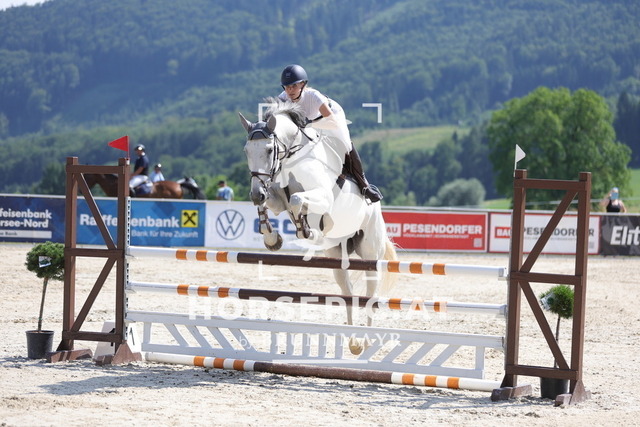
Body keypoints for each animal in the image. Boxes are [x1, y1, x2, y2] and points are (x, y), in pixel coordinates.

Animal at [239, 99, 397, 353]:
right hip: (336, 254)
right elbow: (274, 204)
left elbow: (297, 200)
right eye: (246, 151)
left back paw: (366, 340)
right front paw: (272, 239)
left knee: (370, 295)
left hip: (371, 253)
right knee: (347, 293)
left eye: (269, 150)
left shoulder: (322, 196)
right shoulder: (276, 199)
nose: (256, 193)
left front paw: (305, 229)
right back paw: (353, 341)